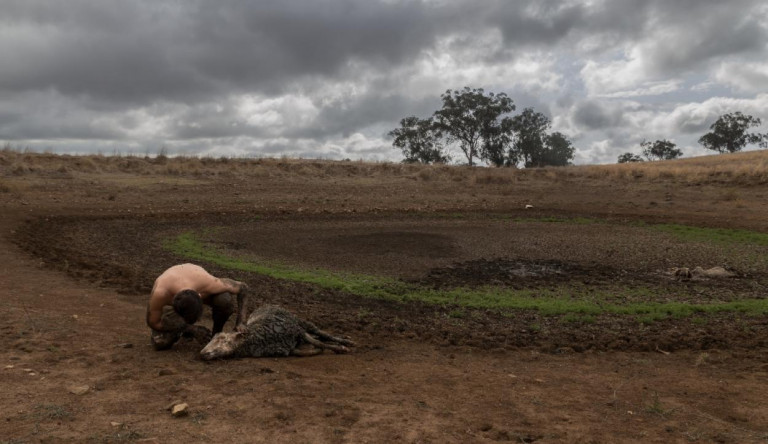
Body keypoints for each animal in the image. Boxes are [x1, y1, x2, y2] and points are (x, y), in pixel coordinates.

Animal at [198, 306, 354, 360]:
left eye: (224, 340)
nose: (203, 353)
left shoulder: (298, 332)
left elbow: (319, 342)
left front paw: (341, 348)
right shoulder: (288, 350)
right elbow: (309, 350)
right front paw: (317, 350)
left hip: (303, 324)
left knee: (322, 334)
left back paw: (346, 341)